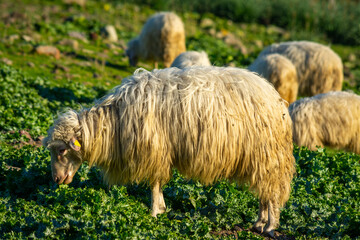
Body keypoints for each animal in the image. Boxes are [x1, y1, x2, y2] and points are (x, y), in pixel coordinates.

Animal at [43, 66, 296, 238]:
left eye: (62, 150)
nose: (56, 180)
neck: (113, 122)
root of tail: (274, 96)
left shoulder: (154, 151)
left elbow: (155, 183)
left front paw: (155, 212)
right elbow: (158, 184)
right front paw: (162, 209)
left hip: (267, 154)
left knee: (272, 193)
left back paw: (270, 226)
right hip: (260, 159)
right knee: (264, 192)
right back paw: (259, 224)